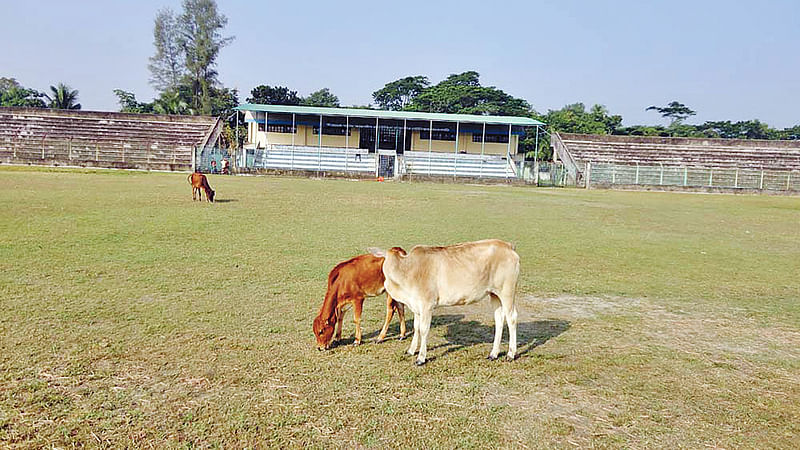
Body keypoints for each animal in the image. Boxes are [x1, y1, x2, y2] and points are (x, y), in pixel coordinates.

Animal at [374, 239, 520, 366]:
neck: (407, 271)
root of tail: (507, 245)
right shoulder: (416, 306)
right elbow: (416, 327)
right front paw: (411, 350)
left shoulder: (426, 305)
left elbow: (423, 330)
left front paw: (421, 358)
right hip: (494, 294)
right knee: (499, 319)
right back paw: (493, 354)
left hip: (507, 291)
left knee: (511, 318)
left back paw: (511, 354)